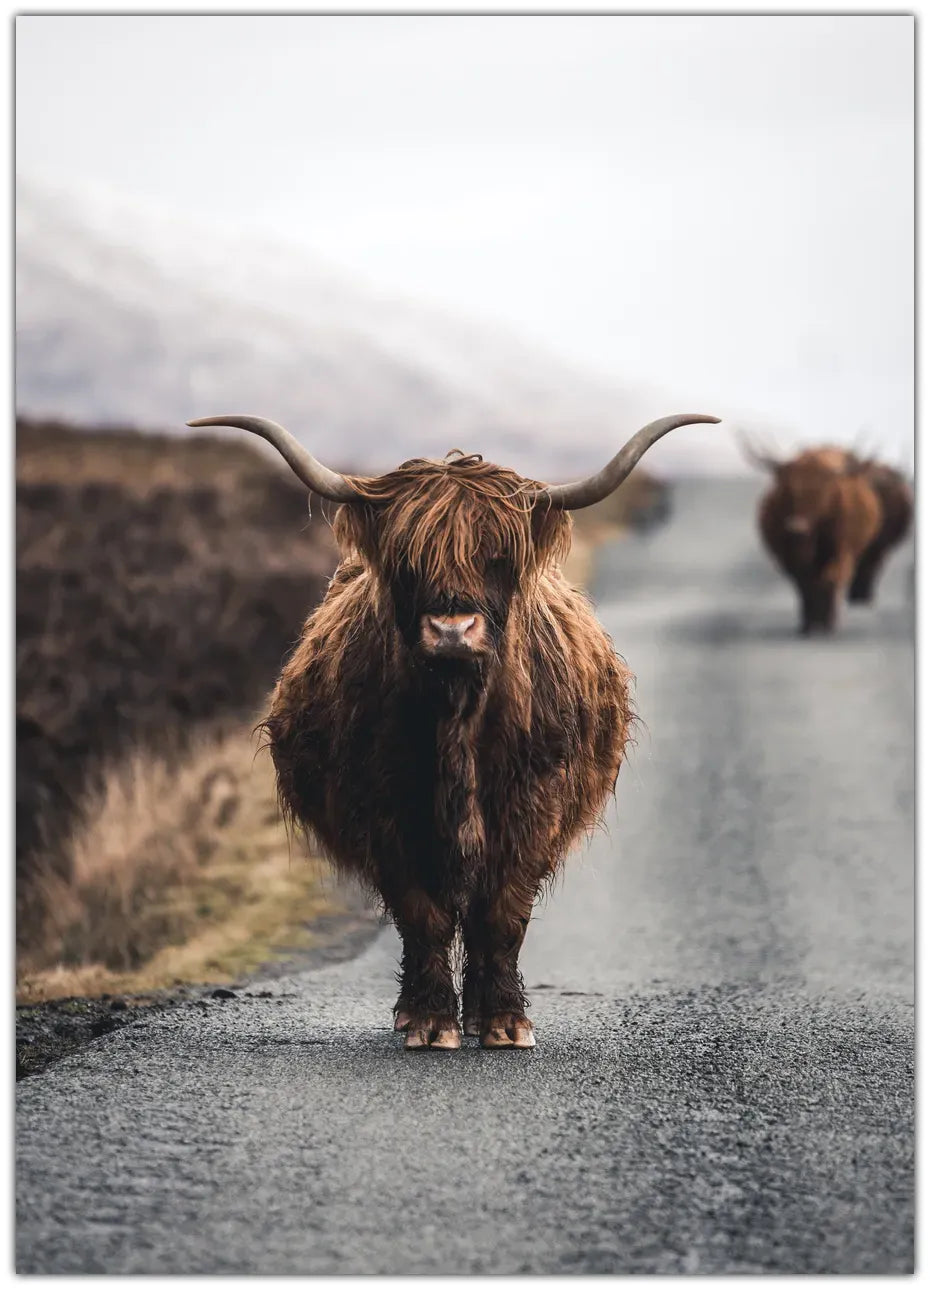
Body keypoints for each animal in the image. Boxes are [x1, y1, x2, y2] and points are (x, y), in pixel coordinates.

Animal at [188, 412, 719, 1050]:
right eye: (408, 561)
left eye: (498, 557)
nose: (451, 630)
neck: (457, 715)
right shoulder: (385, 811)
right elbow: (422, 913)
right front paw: (430, 1020)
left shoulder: (533, 804)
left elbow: (502, 912)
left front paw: (503, 1022)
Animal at [747, 443, 882, 635]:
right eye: (790, 490)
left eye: (824, 493)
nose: (797, 527)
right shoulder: (791, 558)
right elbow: (804, 582)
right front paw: (808, 624)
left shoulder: (841, 552)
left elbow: (832, 578)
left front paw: (828, 622)